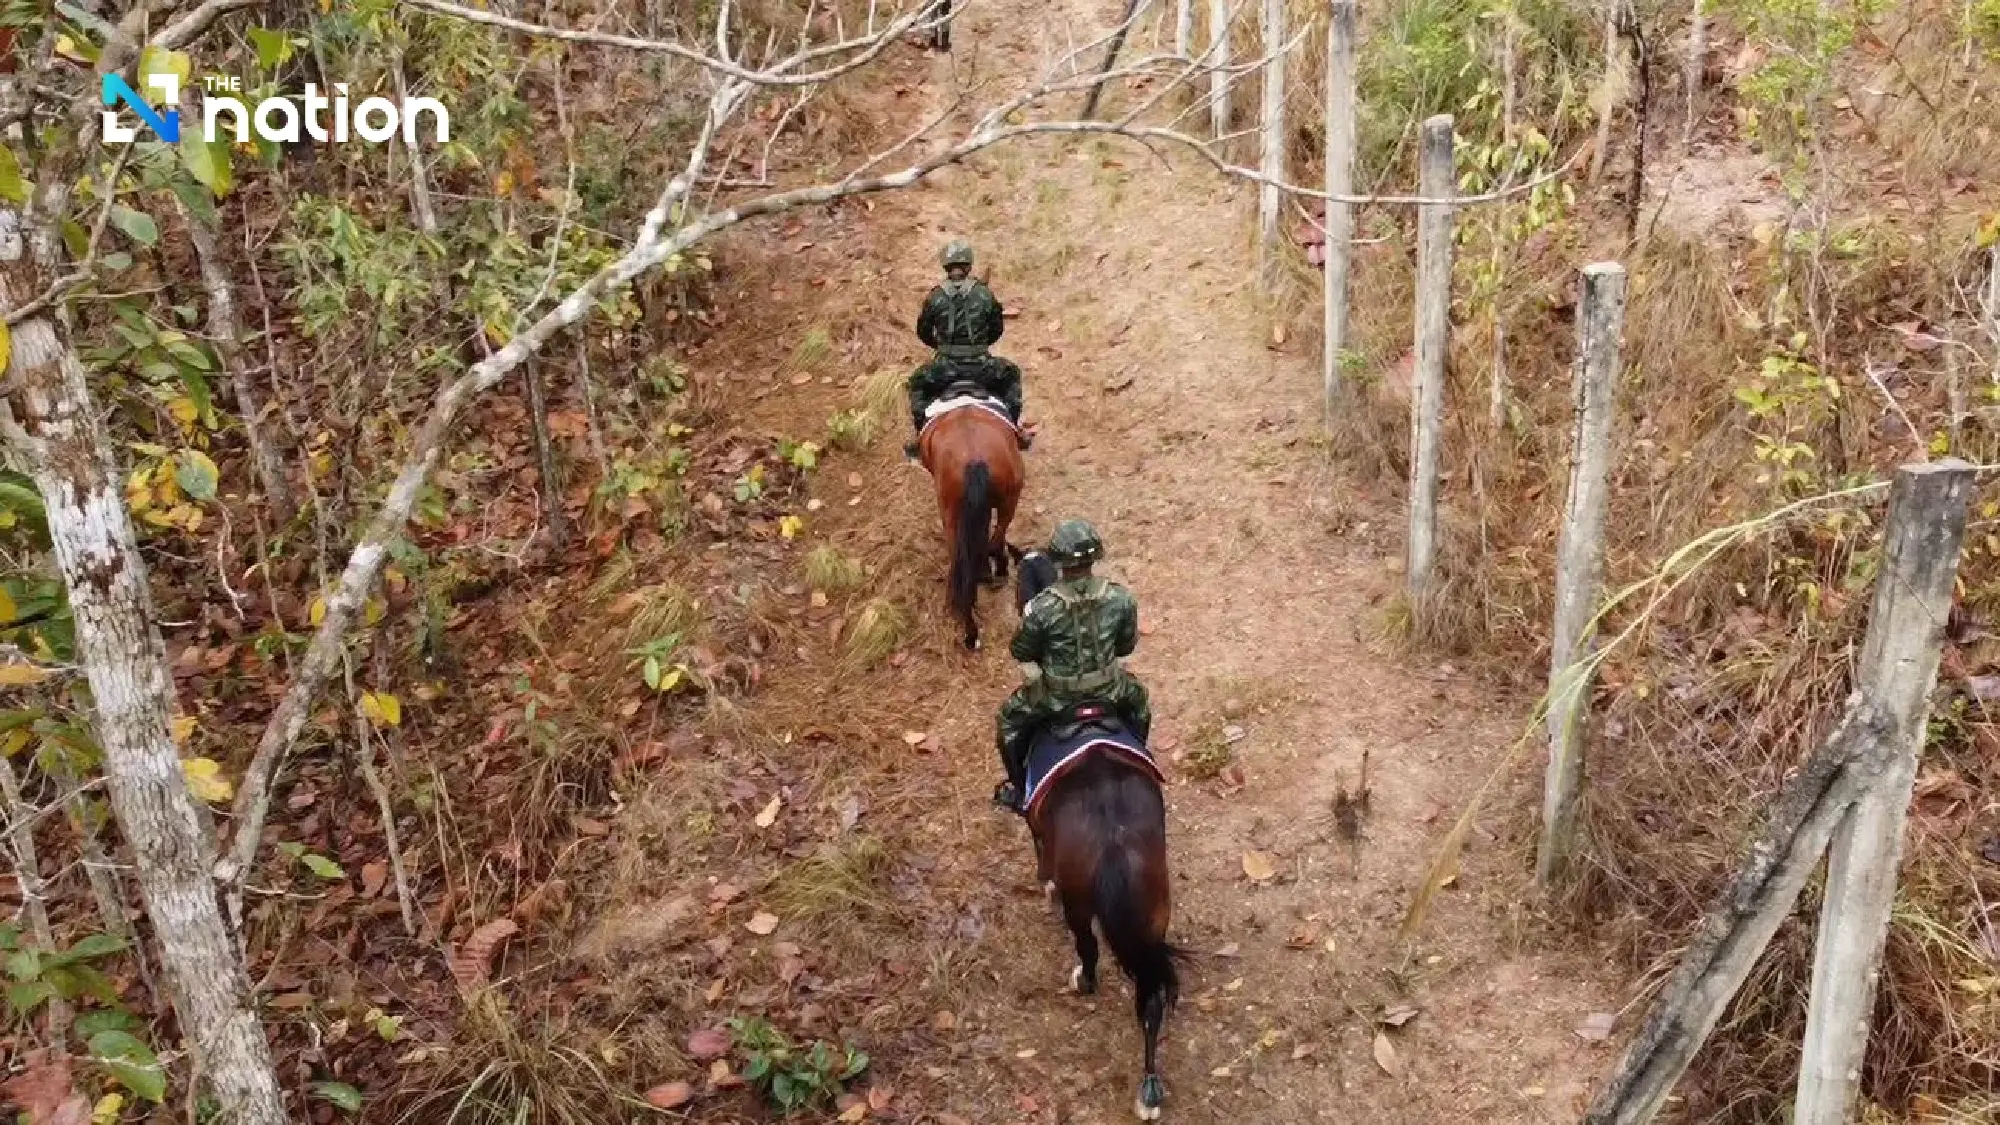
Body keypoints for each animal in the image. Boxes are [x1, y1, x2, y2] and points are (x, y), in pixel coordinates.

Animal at [1010, 554, 1181, 1121]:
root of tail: (1112, 845)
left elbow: (1038, 854)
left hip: (1082, 905)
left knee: (1088, 948)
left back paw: (1081, 982)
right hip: (1153, 914)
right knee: (1150, 998)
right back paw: (1149, 1088)